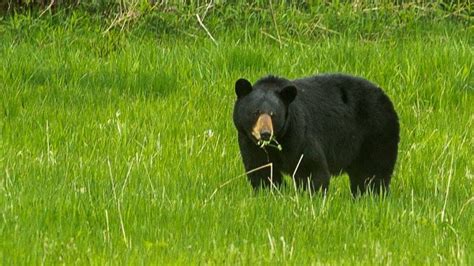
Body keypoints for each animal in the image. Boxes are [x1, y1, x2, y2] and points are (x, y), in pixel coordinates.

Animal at [233, 74, 400, 196]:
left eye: (273, 114)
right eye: (256, 112)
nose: (265, 134)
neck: (279, 140)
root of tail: (386, 97)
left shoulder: (299, 134)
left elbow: (310, 166)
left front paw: (311, 195)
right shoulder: (249, 142)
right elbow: (261, 168)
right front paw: (270, 193)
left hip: (375, 132)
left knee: (373, 169)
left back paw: (371, 195)